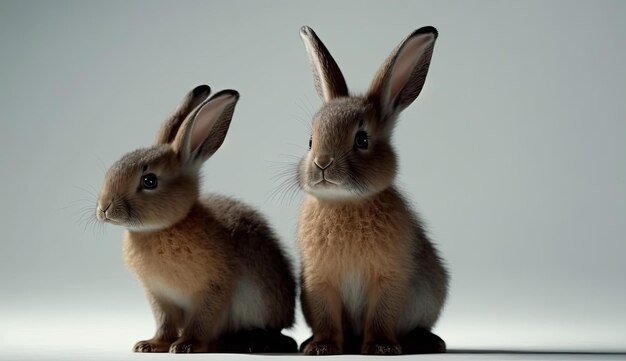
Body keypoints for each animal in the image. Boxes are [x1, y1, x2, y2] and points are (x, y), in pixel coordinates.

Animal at [95, 85, 298, 352]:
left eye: (149, 180)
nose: (104, 208)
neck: (164, 227)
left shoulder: (213, 289)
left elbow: (201, 321)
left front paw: (186, 346)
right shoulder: (159, 296)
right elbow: (164, 322)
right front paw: (152, 345)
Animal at [294, 26, 446, 354]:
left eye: (362, 140)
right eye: (310, 141)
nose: (322, 163)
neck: (346, 202)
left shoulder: (389, 278)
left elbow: (381, 315)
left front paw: (380, 348)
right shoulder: (319, 281)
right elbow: (327, 318)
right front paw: (321, 347)